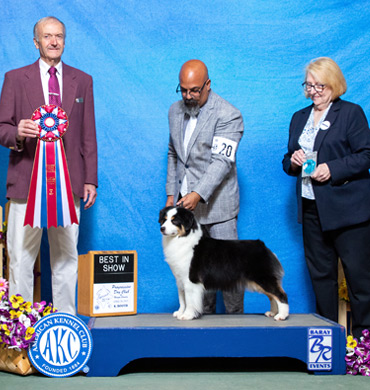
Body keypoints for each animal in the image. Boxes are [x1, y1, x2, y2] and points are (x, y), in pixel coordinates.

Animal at [159, 206, 290, 322]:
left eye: (174, 220)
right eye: (164, 219)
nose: (162, 228)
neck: (181, 238)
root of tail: (263, 247)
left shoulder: (191, 279)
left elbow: (190, 300)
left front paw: (187, 315)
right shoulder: (180, 278)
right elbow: (182, 299)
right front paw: (180, 312)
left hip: (263, 277)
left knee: (280, 295)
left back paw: (281, 316)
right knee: (272, 296)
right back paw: (272, 313)